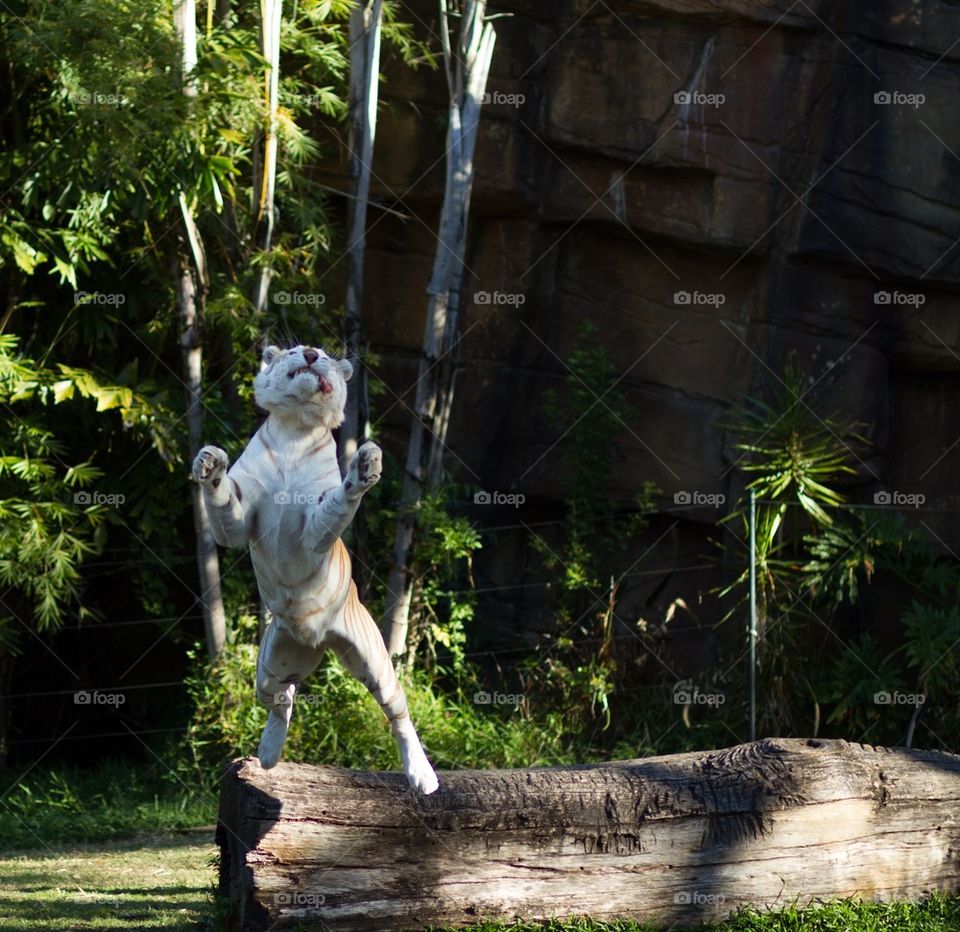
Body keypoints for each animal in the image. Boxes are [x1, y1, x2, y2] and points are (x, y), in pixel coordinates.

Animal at [193, 342, 440, 792]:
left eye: (323, 355)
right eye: (293, 349)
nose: (309, 352)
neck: (295, 428)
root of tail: (317, 642)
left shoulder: (314, 529)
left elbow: (339, 503)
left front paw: (365, 467)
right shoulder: (238, 524)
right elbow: (221, 502)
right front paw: (209, 464)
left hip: (374, 661)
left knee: (398, 715)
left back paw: (423, 776)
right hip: (268, 669)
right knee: (282, 699)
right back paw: (269, 755)